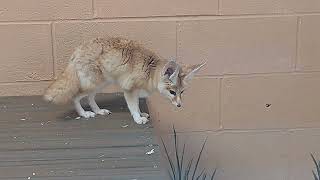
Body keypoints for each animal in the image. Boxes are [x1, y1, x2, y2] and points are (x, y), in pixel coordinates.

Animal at [43, 36, 206, 124]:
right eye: (172, 92)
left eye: (182, 92)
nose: (179, 105)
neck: (150, 71)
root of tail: (77, 50)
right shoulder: (129, 89)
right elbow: (133, 106)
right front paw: (138, 118)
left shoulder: (136, 91)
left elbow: (138, 106)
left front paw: (141, 114)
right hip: (94, 84)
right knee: (75, 97)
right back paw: (84, 114)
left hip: (101, 84)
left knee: (90, 98)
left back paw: (98, 111)